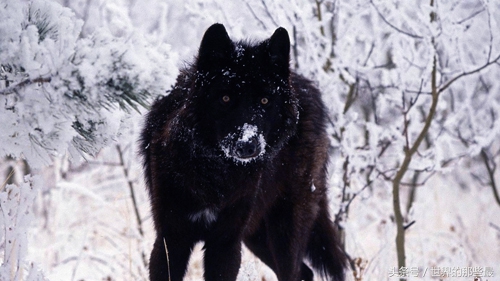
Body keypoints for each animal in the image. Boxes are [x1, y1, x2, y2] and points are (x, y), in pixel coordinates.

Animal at [139, 23, 346, 278]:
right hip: (256, 236)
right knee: (304, 272)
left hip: (284, 231)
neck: (215, 173)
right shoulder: (171, 240)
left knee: (295, 271)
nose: (248, 144)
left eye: (265, 101)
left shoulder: (226, 243)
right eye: (226, 98)